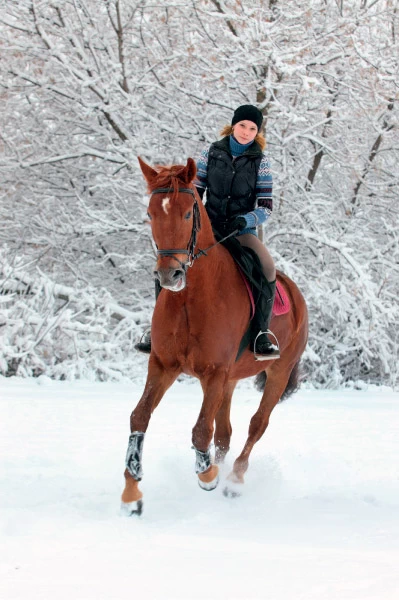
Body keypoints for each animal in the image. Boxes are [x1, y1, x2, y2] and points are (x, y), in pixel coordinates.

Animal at [122, 157, 310, 512]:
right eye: (151, 213)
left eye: (187, 213)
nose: (169, 274)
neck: (191, 298)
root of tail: (295, 293)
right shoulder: (163, 365)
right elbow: (139, 417)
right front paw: (131, 491)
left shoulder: (214, 372)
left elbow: (200, 431)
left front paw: (207, 475)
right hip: (231, 379)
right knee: (224, 432)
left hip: (277, 372)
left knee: (256, 425)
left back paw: (233, 480)